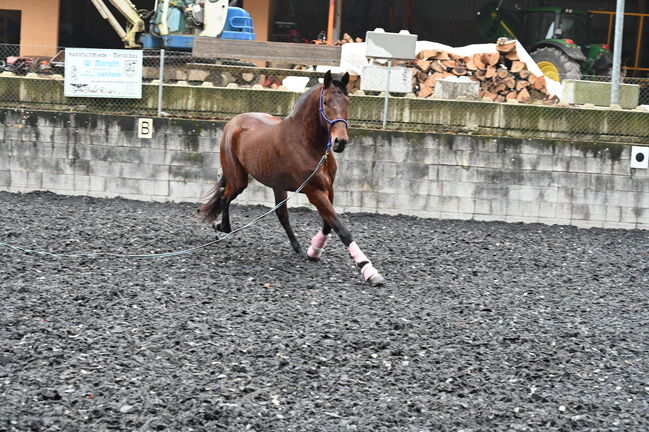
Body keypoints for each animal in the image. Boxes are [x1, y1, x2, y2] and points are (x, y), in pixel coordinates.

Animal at [195, 70, 382, 286]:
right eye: (326, 102)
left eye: (347, 102)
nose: (340, 142)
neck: (307, 144)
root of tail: (233, 123)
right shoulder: (314, 192)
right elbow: (341, 228)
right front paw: (369, 271)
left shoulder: (328, 188)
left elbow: (329, 223)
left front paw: (313, 250)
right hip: (239, 180)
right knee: (225, 195)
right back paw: (221, 227)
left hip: (277, 185)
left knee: (280, 213)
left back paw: (297, 247)